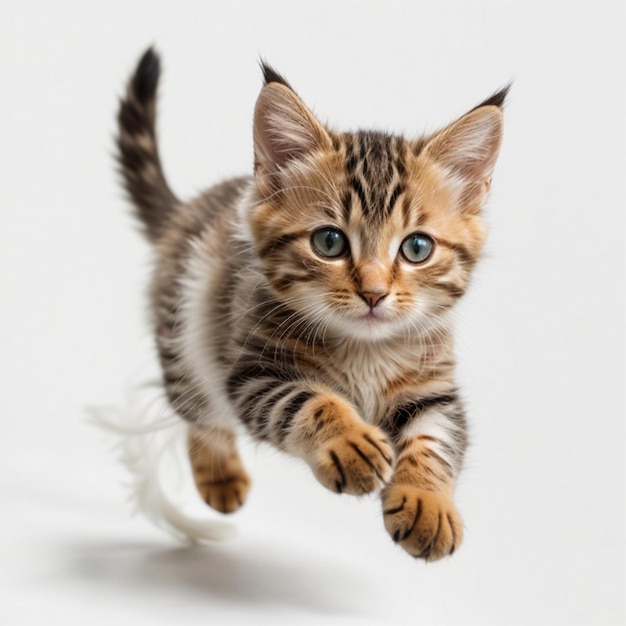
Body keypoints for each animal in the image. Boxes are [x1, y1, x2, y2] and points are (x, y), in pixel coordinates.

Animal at [116, 46, 508, 560]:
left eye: (417, 248)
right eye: (329, 241)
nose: (374, 292)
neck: (366, 350)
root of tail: (186, 210)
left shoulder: (437, 388)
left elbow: (437, 440)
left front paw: (427, 502)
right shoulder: (253, 371)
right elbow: (309, 399)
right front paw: (350, 443)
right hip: (185, 333)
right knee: (200, 413)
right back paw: (221, 478)